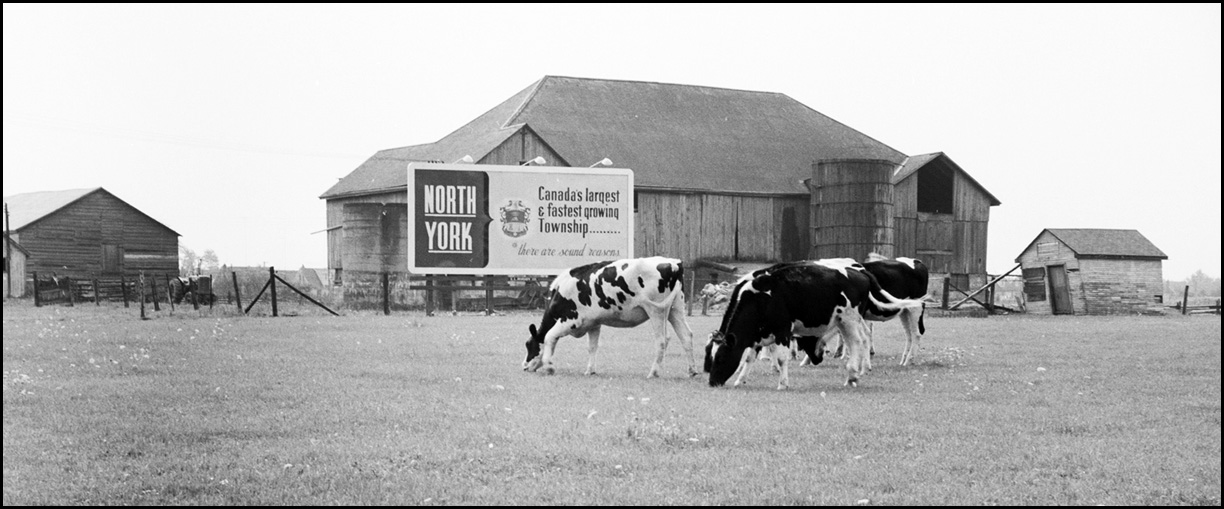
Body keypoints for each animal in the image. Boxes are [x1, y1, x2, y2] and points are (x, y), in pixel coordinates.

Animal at [523, 254, 700, 376]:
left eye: (528, 344)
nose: (524, 366)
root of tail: (673, 262)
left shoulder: (571, 320)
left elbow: (549, 337)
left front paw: (549, 366)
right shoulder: (593, 323)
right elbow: (592, 347)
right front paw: (590, 370)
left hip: (656, 310)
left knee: (663, 340)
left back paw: (653, 372)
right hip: (675, 309)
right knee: (686, 335)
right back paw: (692, 370)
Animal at [705, 260, 920, 386]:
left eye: (721, 357)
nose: (712, 382)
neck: (760, 298)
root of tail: (859, 271)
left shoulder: (783, 330)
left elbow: (781, 357)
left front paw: (782, 383)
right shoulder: (759, 333)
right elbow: (749, 357)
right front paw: (740, 380)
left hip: (851, 318)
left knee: (860, 341)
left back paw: (855, 373)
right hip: (843, 321)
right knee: (856, 341)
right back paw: (853, 374)